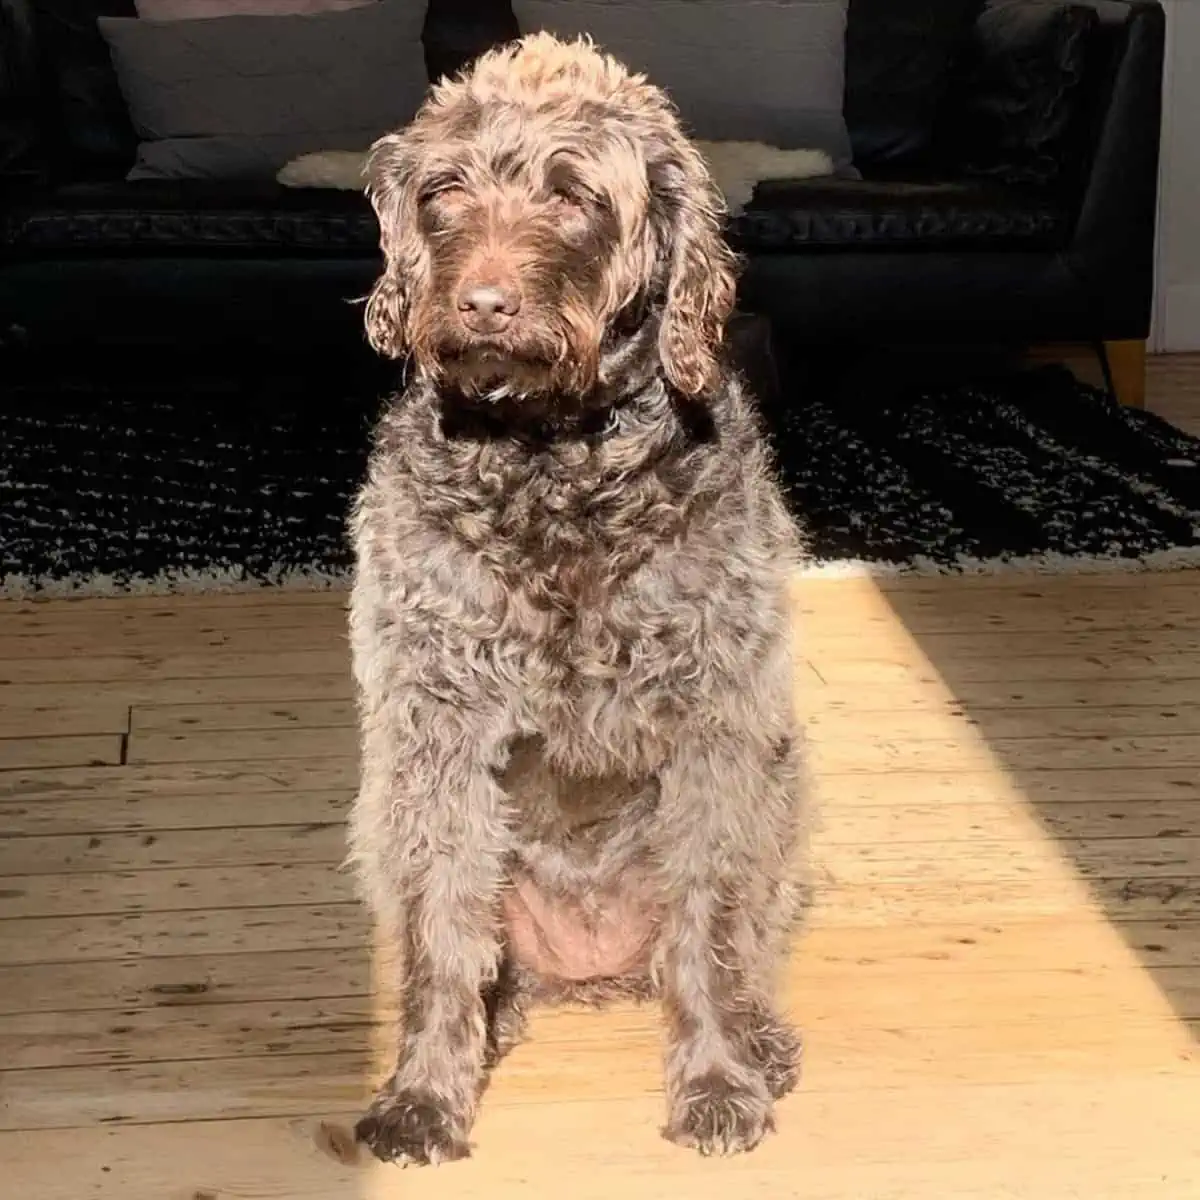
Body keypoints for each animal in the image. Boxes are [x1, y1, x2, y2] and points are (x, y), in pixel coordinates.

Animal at [348, 32, 816, 1166]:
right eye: (444, 191)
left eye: (574, 196)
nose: (482, 303)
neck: (552, 465)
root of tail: (591, 964)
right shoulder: (435, 728)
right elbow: (442, 935)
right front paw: (425, 1093)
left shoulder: (715, 724)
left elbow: (705, 929)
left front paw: (716, 1080)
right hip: (382, 812)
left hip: (781, 790)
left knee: (736, 939)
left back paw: (758, 1038)